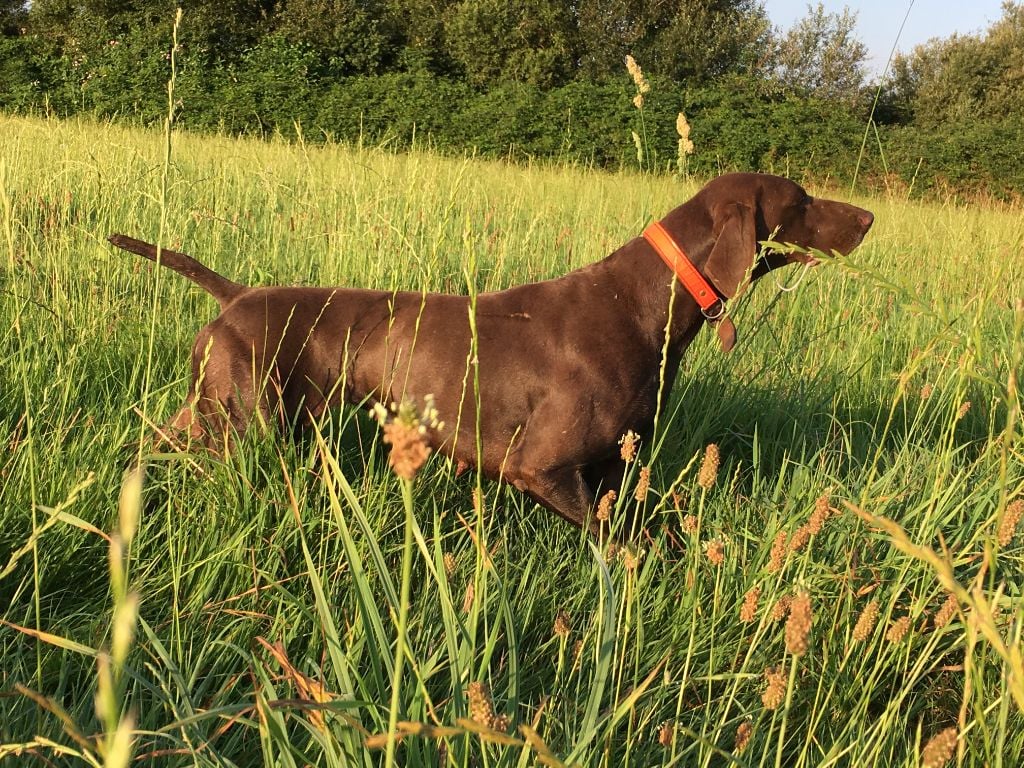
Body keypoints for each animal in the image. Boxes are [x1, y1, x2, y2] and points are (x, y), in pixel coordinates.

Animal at [116, 174, 876, 536]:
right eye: (803, 201)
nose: (869, 217)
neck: (645, 302)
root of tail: (238, 295)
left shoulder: (610, 467)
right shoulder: (540, 466)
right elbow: (624, 545)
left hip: (223, 415)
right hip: (240, 422)